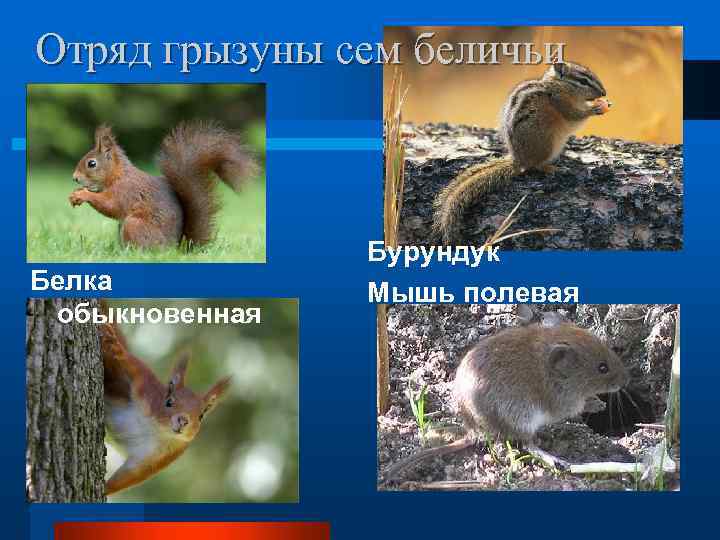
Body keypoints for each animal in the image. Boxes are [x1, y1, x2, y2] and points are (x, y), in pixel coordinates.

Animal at [70, 121, 256, 248]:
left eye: (91, 164)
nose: (74, 178)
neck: (118, 175)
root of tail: (175, 248)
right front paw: (76, 194)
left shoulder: (126, 191)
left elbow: (111, 206)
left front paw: (82, 194)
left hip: (134, 225)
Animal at [100, 312, 231, 495]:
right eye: (169, 402)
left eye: (201, 416)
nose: (183, 420)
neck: (156, 429)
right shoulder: (145, 387)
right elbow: (130, 363)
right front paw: (114, 345)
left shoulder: (160, 458)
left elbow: (131, 475)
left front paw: (105, 489)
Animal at [385, 313, 629, 480]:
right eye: (602, 368)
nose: (625, 381)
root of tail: (474, 432)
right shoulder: (562, 401)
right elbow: (578, 406)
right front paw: (596, 404)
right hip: (523, 418)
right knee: (528, 444)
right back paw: (556, 460)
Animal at [432, 60, 612, 245]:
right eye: (583, 81)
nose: (604, 93)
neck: (559, 85)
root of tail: (518, 160)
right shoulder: (561, 101)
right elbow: (575, 114)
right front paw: (595, 108)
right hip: (547, 144)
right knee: (535, 166)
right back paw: (554, 168)